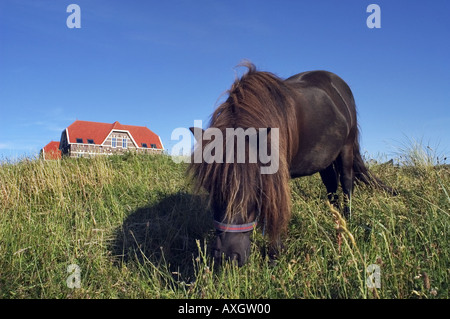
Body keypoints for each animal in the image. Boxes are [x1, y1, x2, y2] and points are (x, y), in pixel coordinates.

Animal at [188, 62, 392, 268]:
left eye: (255, 188)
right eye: (209, 187)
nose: (227, 257)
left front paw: (274, 257)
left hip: (346, 148)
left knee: (347, 183)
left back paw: (346, 220)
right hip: (325, 160)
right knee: (331, 187)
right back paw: (335, 219)